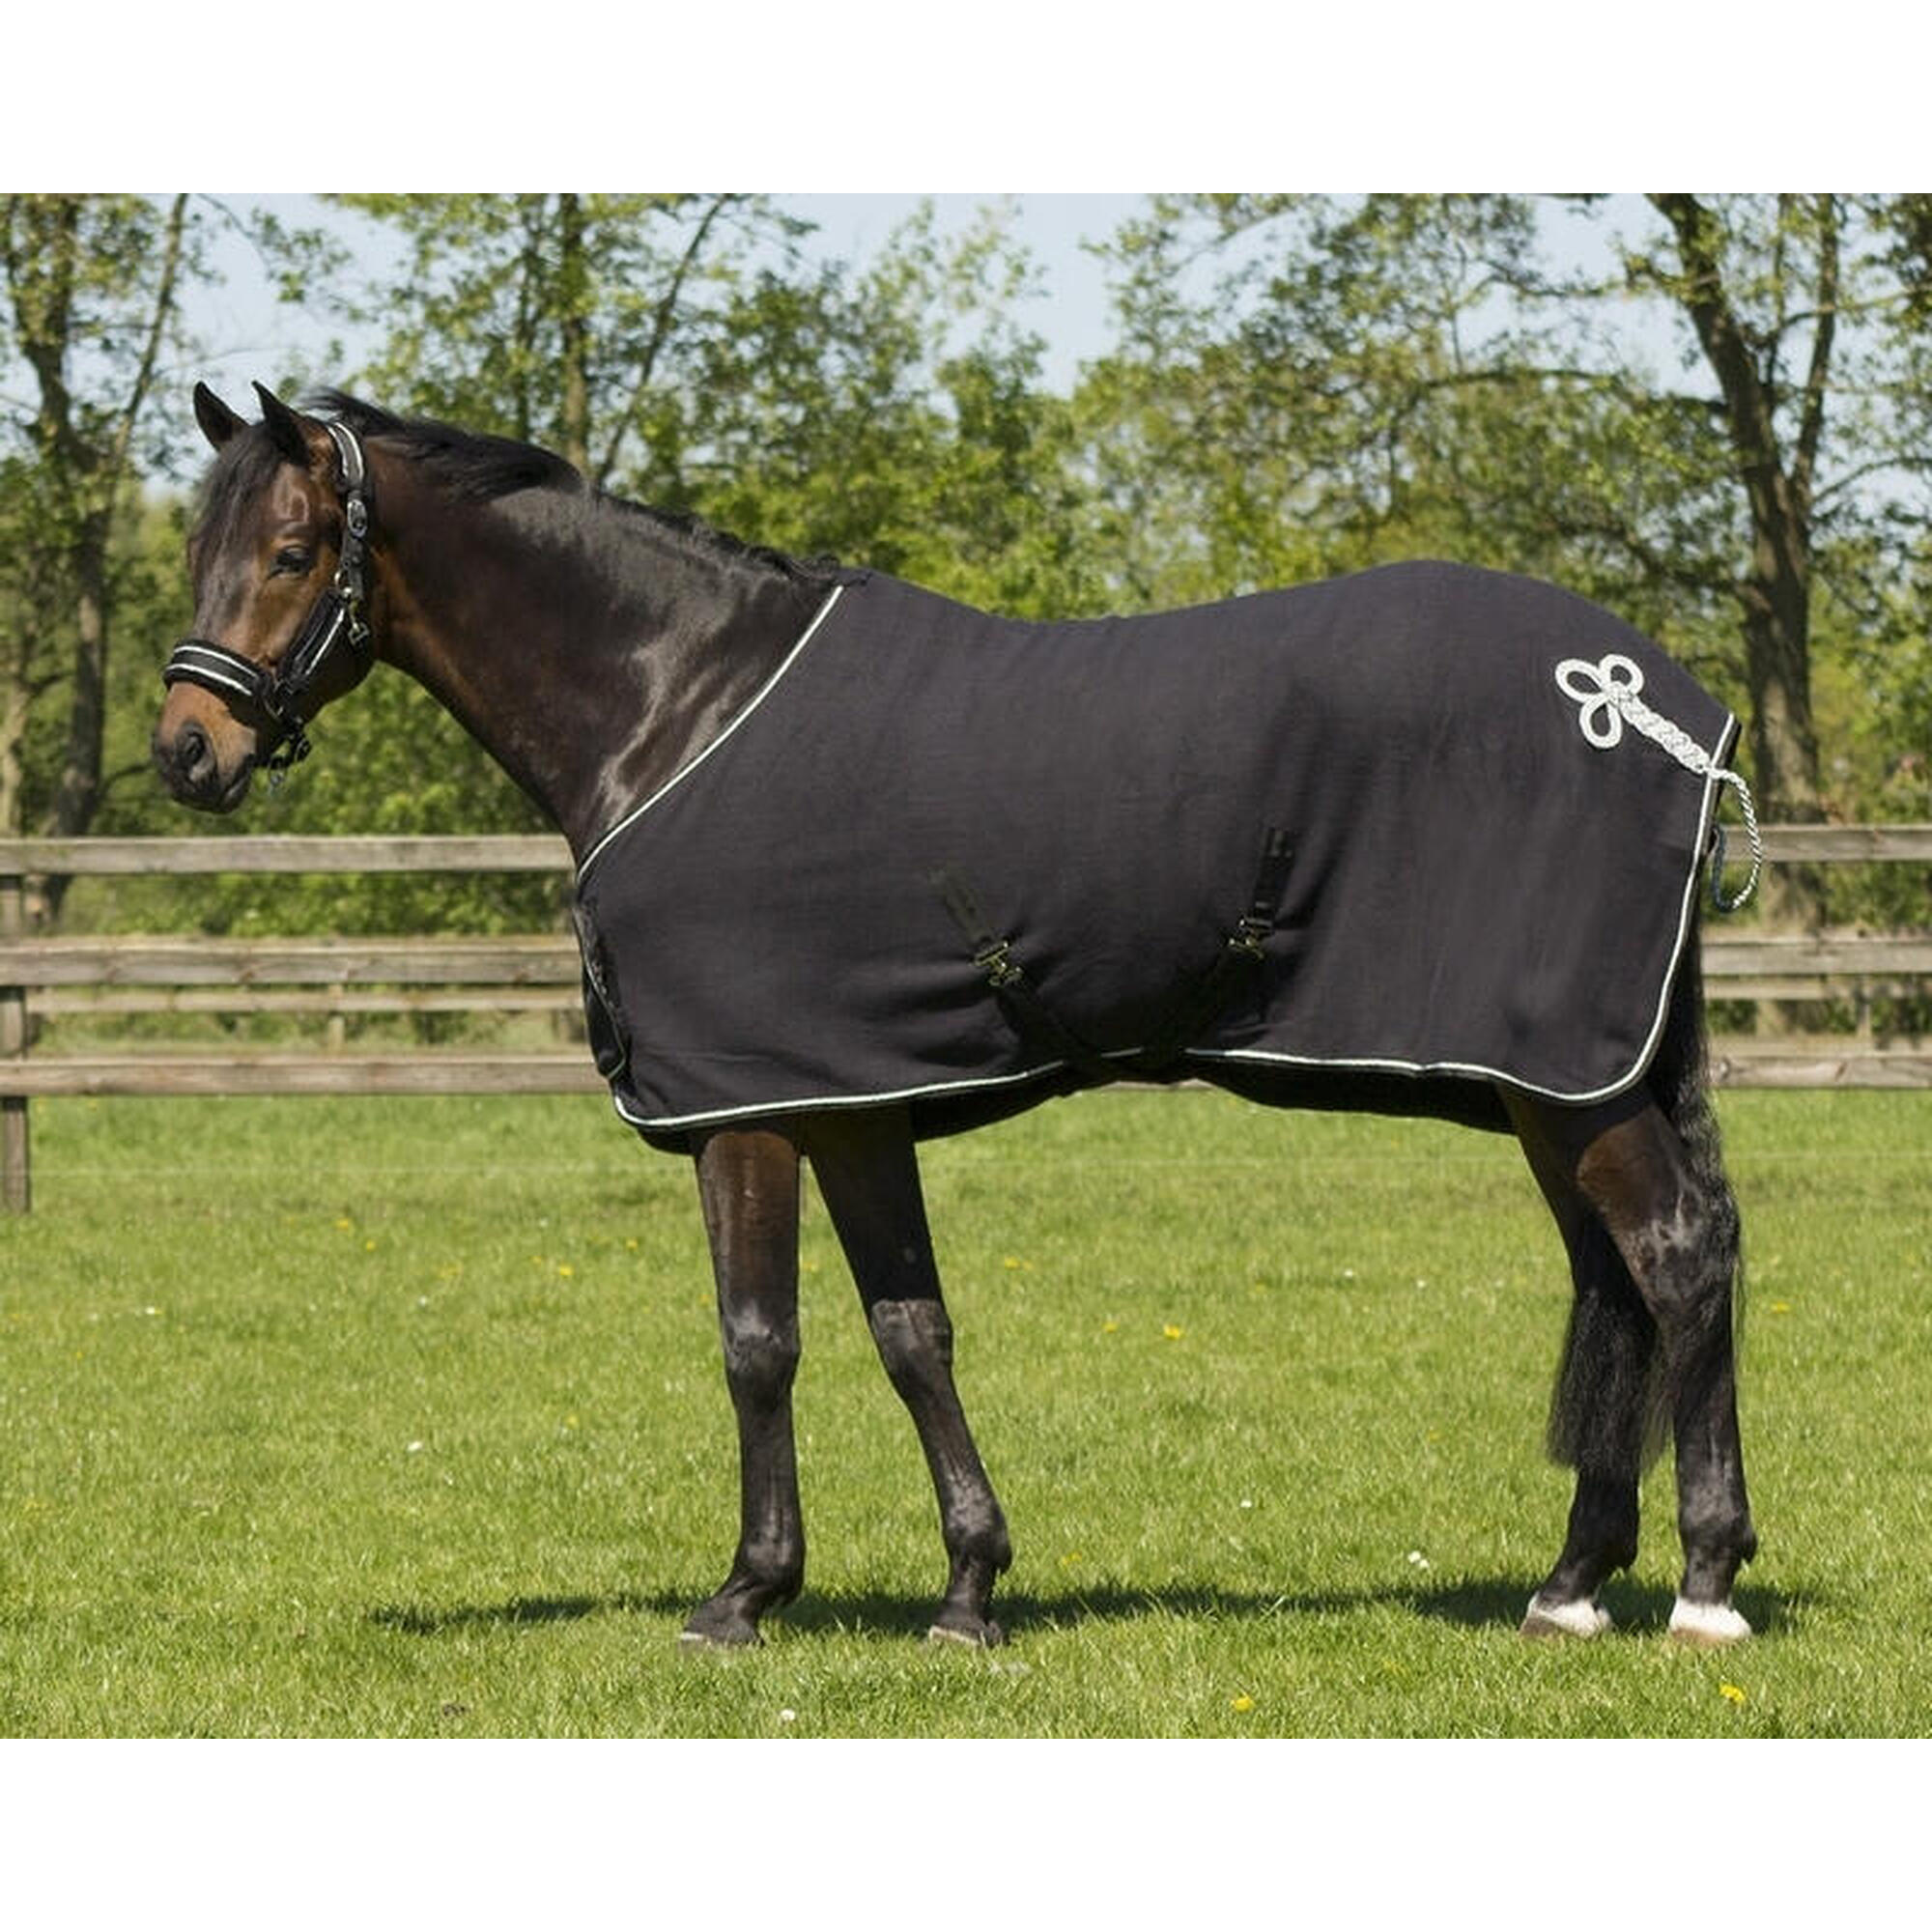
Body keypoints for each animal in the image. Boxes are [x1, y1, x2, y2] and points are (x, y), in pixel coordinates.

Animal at [152, 383, 1759, 1650]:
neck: (675, 704)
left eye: (291, 553)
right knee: (1619, 1278)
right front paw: (970, 1591)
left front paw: (744, 1596)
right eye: (197, 551)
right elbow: (911, 1330)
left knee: (1678, 1261)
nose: (186, 752)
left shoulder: (750, 1105)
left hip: (1571, 1077)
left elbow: (759, 1341)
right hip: (1555, 1081)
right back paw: (1570, 1586)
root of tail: (1667, 714)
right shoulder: (854, 1100)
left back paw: (1703, 1585)